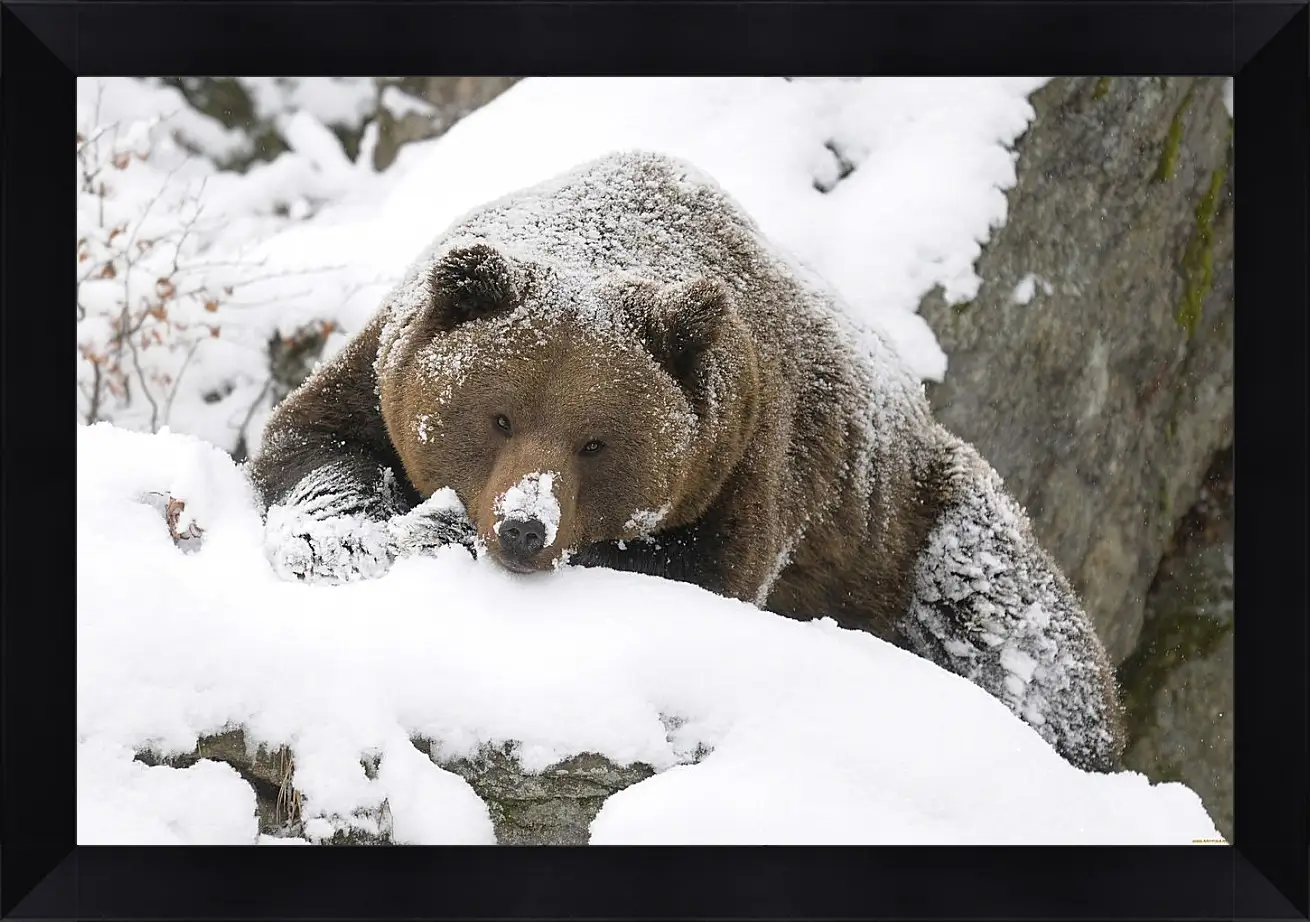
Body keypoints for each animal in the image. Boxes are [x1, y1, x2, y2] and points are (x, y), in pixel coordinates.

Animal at [252, 149, 1126, 770]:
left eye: (595, 441)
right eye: (498, 415)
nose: (524, 528)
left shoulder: (747, 461)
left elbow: (692, 569)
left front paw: (437, 531)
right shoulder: (380, 370)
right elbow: (313, 443)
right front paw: (345, 537)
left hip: (915, 528)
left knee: (1018, 634)